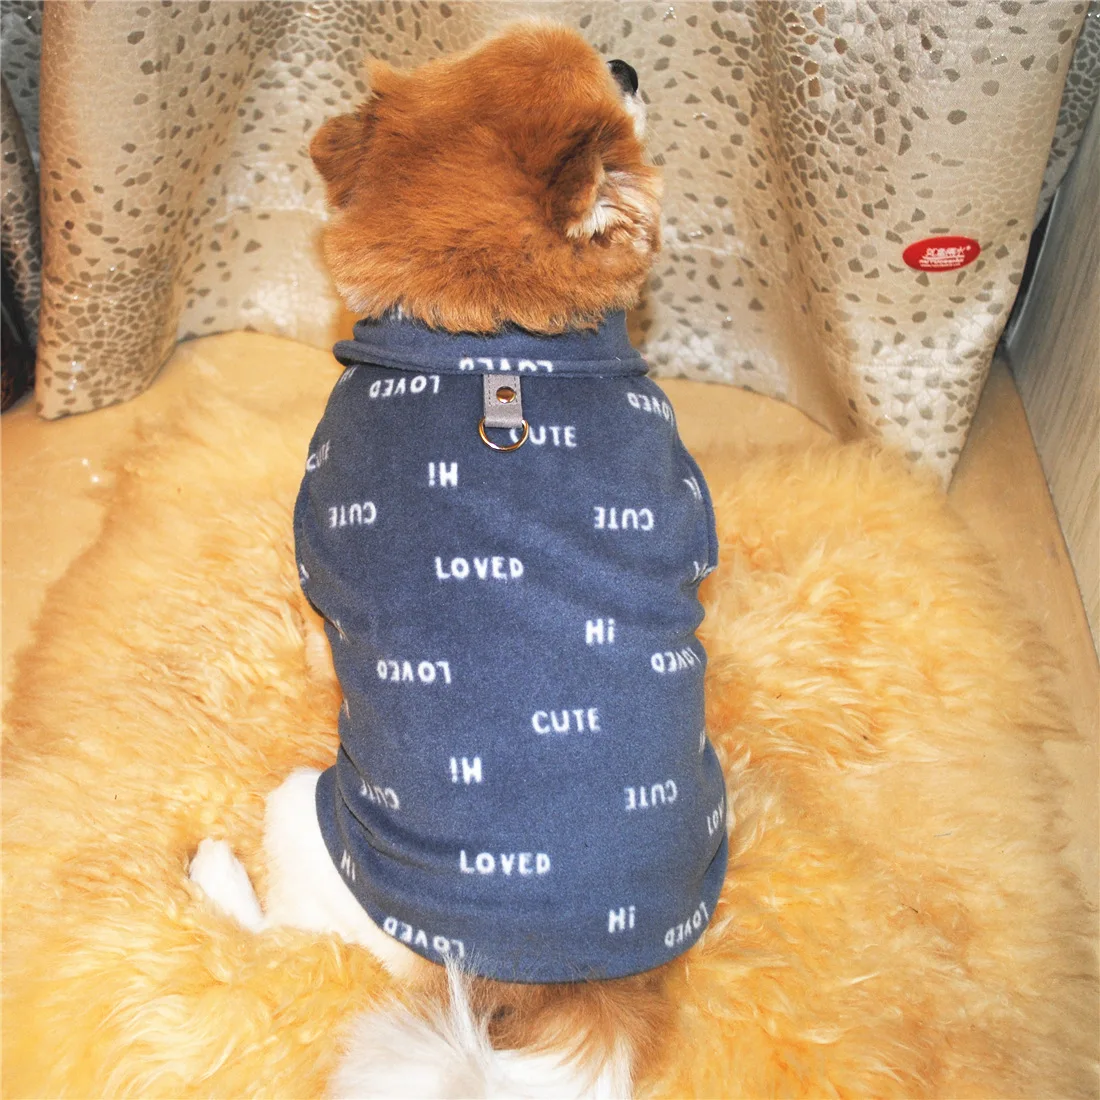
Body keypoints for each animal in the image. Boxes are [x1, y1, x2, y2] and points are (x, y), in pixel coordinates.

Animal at [190, 23, 728, 1098]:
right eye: (607, 82)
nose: (631, 64)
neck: (496, 346)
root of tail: (578, 992)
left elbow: (320, 631)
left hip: (304, 818)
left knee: (290, 946)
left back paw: (212, 878)